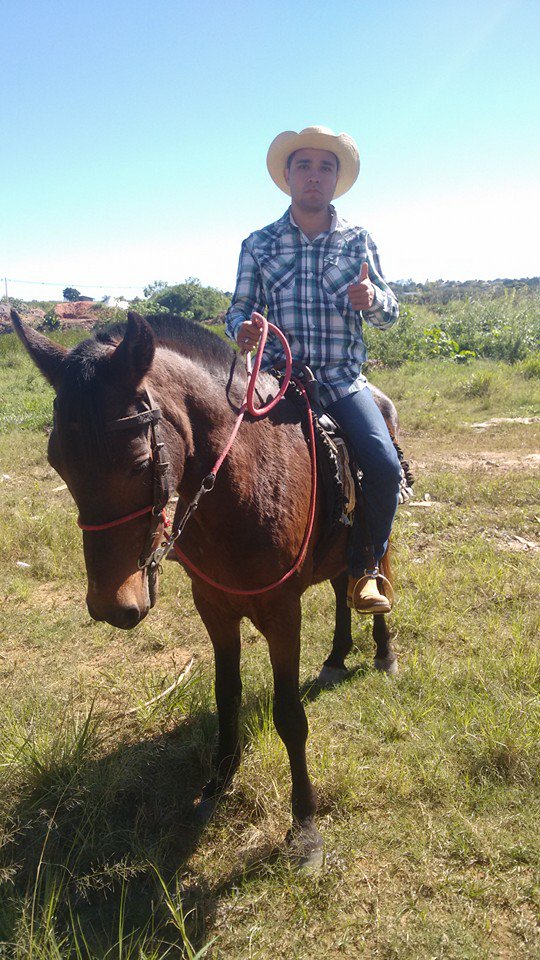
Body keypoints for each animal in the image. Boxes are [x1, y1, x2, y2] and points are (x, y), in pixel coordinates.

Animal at [11, 310, 396, 872]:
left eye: (139, 463)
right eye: (57, 461)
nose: (111, 606)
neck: (244, 484)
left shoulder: (282, 611)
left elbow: (289, 716)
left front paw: (304, 827)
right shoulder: (213, 607)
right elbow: (226, 693)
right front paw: (217, 782)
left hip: (379, 532)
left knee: (373, 579)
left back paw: (384, 652)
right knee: (339, 587)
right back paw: (336, 656)